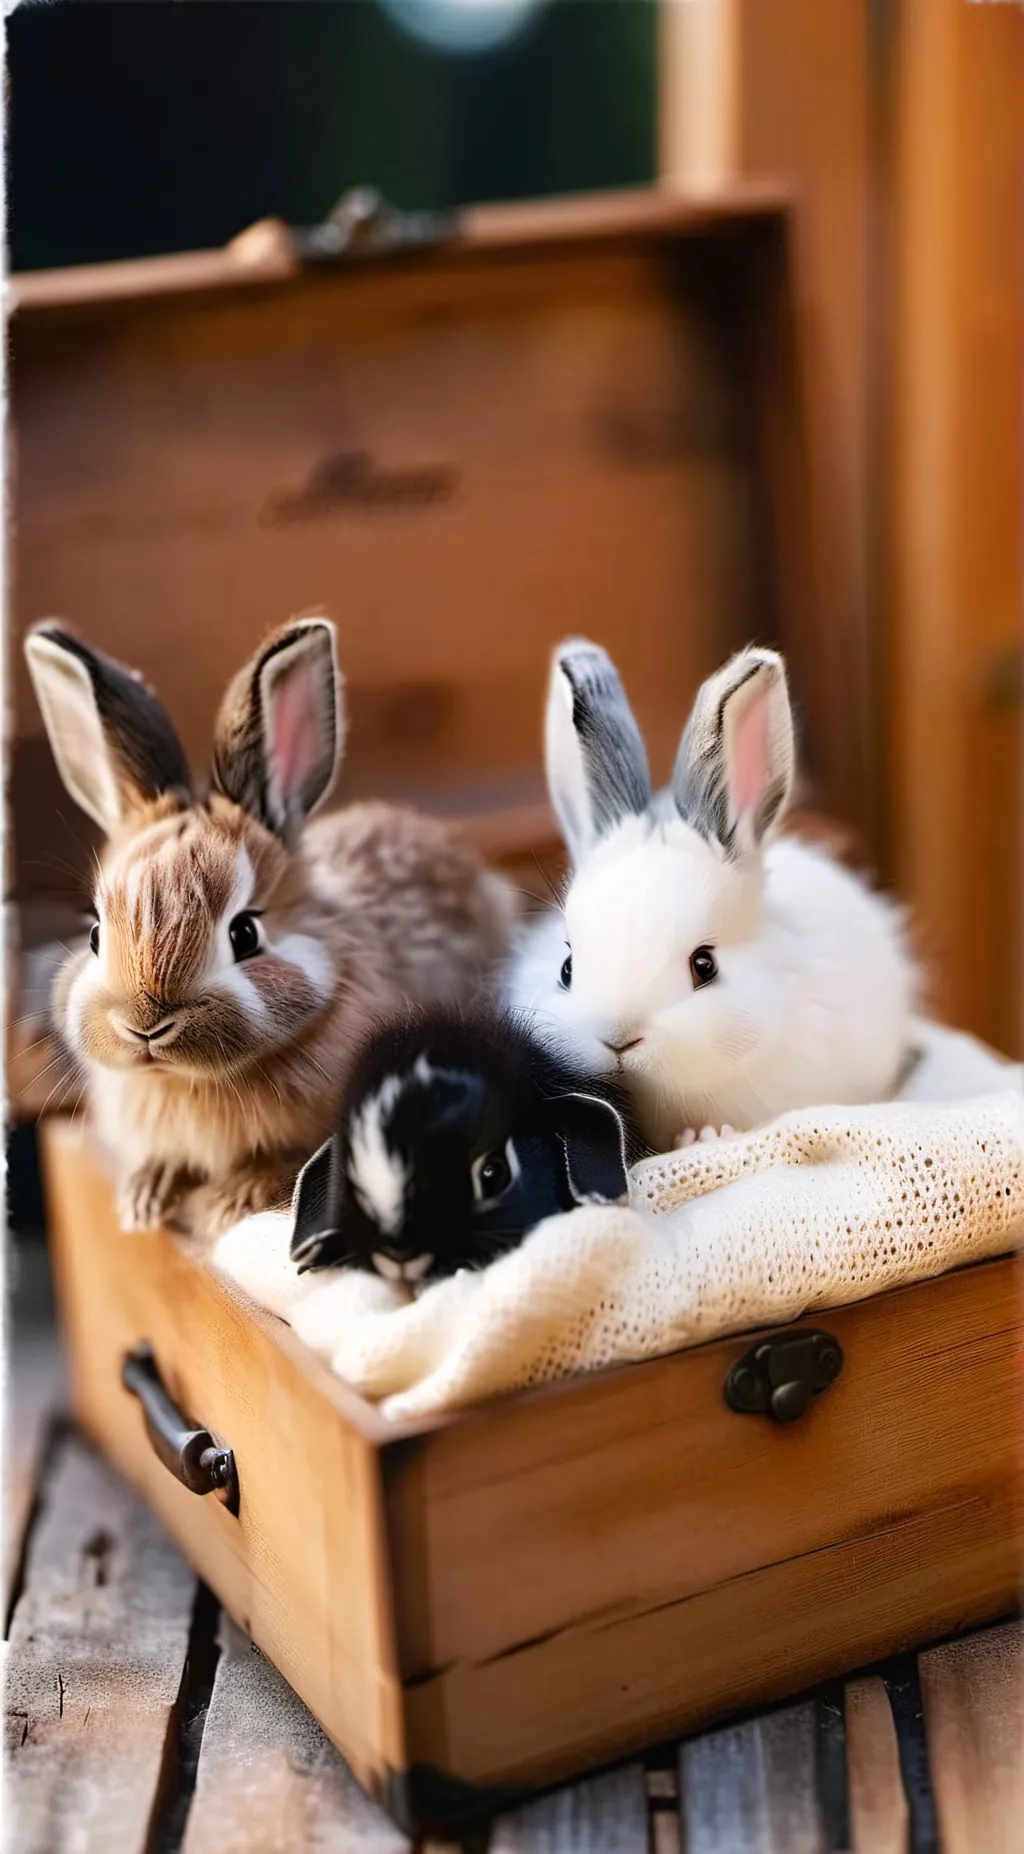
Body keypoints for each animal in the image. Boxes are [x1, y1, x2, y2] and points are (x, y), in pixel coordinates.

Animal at [25, 617, 515, 1236]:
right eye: (94, 934)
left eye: (245, 935)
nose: (144, 1025)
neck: (186, 1079)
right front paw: (144, 1198)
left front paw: (232, 1201)